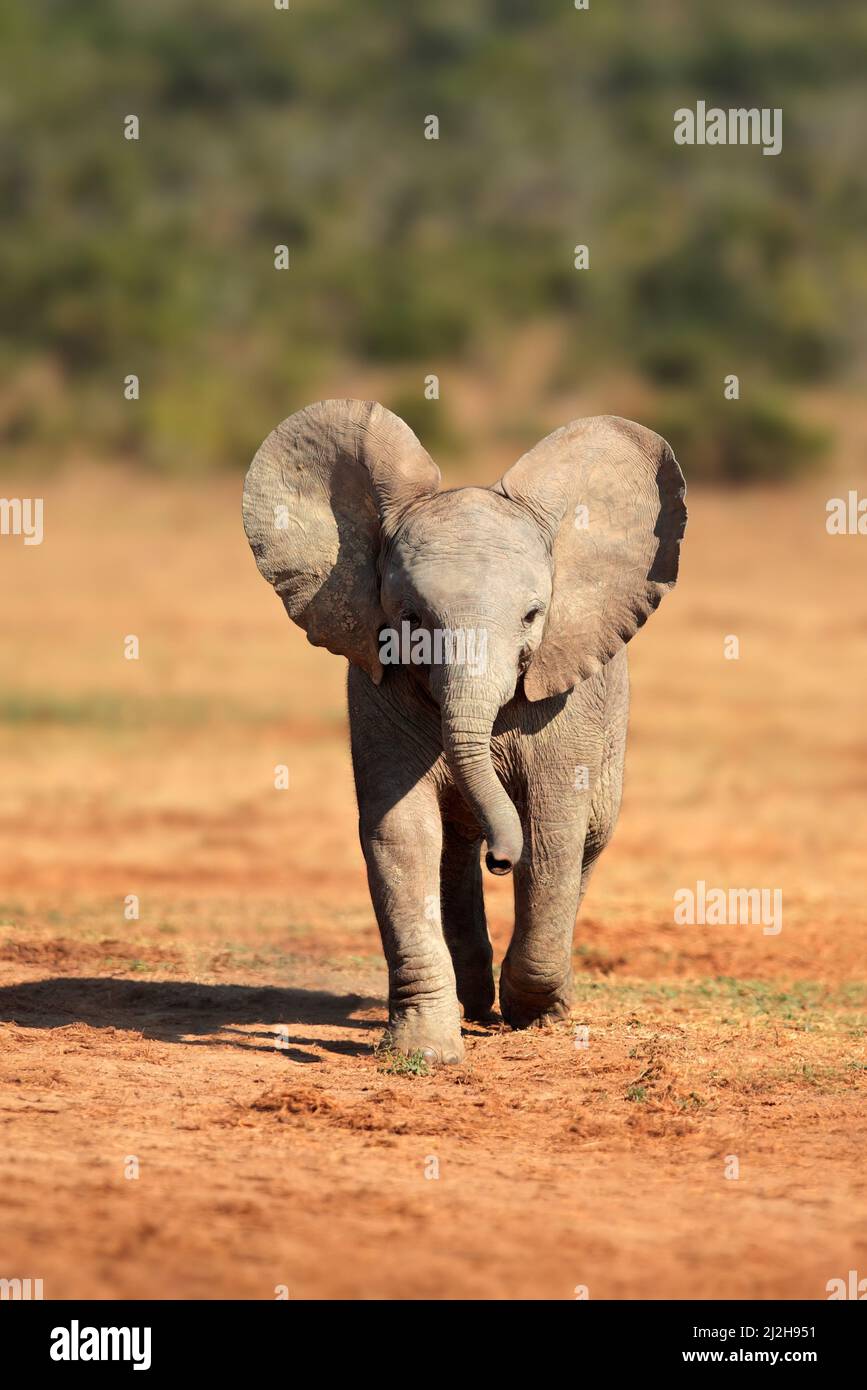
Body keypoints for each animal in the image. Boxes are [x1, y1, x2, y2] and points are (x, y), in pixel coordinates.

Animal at [243, 399, 686, 1064]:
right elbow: (401, 833)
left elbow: (552, 832)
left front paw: (536, 1013)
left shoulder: (567, 704)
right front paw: (425, 1052)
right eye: (410, 618)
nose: (500, 858)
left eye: (531, 615)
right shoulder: (377, 685)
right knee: (452, 850)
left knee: (590, 837)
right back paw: (471, 1000)